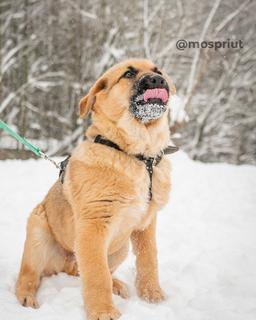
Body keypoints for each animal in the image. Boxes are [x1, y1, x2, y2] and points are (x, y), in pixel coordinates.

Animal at [15, 58, 176, 318]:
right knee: (29, 274)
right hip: (38, 233)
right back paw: (27, 297)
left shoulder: (145, 224)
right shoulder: (94, 227)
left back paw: (117, 284)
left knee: (83, 272)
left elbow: (148, 259)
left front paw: (152, 296)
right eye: (128, 73)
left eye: (158, 71)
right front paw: (103, 311)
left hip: (120, 247)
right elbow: (97, 275)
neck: (136, 155)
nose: (157, 80)